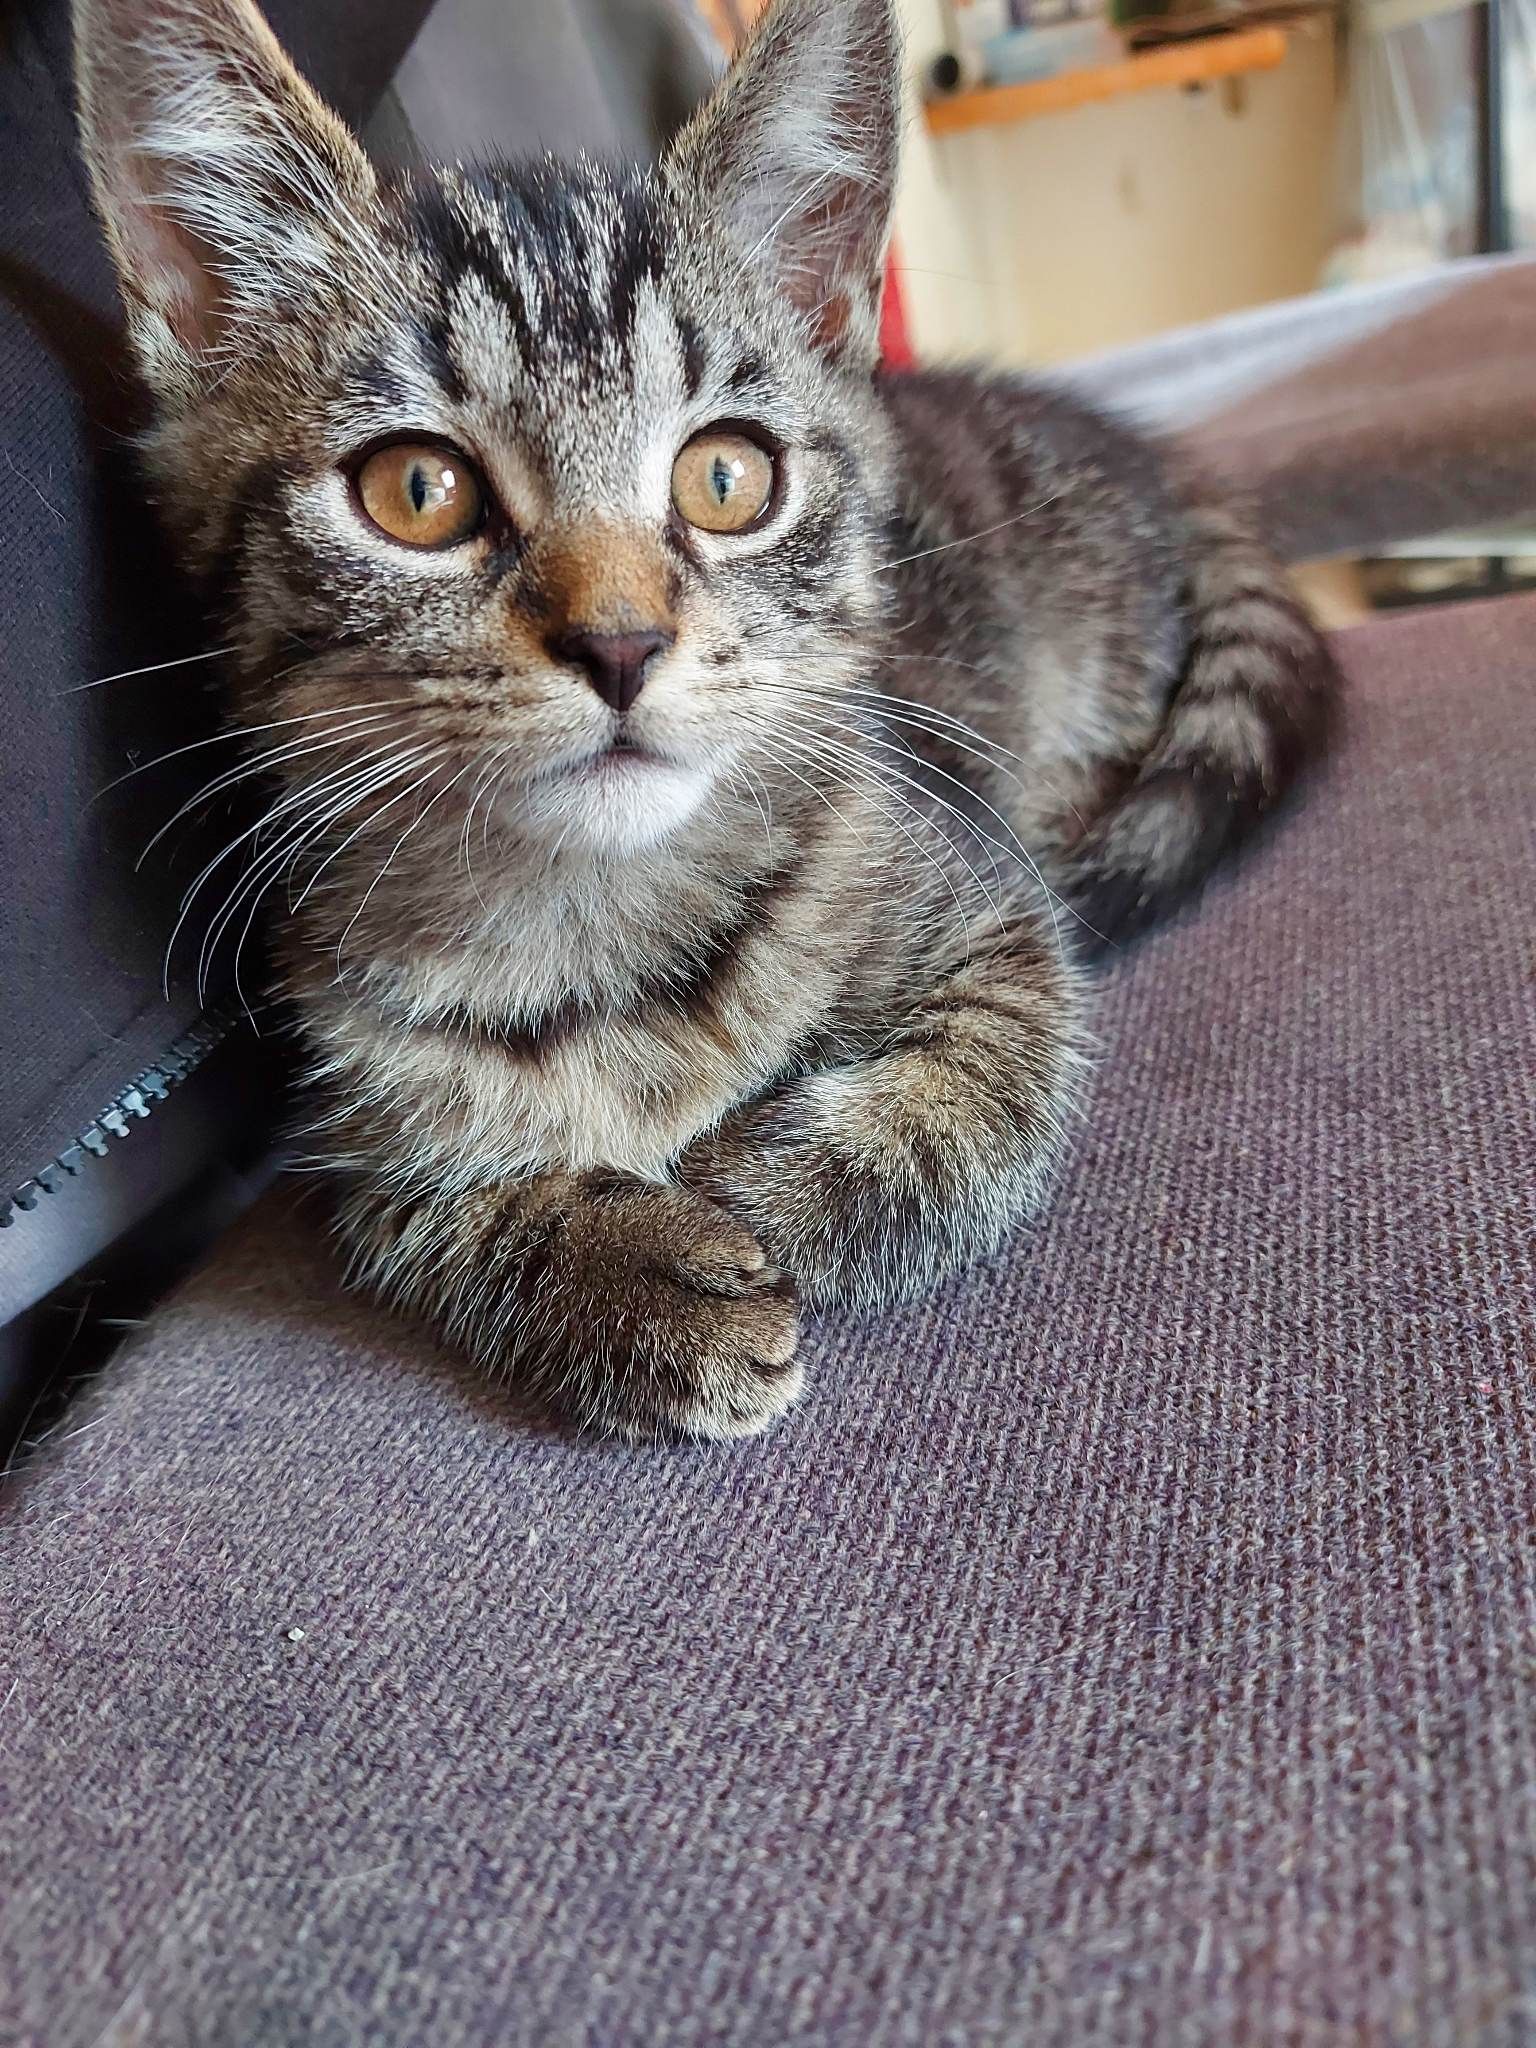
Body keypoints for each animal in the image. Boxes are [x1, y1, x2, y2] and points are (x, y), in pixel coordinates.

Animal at [74, 0, 1336, 1440]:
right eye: (416, 491)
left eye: (727, 477)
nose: (620, 642)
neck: (589, 916)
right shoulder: (346, 1104)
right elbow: (422, 1204)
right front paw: (618, 1266)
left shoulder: (989, 905)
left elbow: (1007, 1076)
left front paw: (767, 1183)